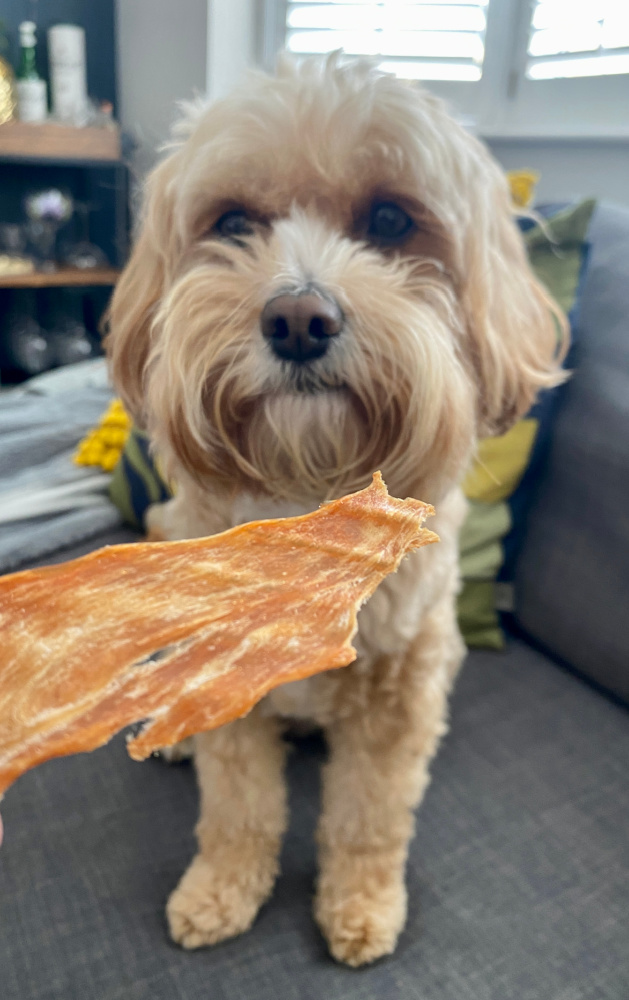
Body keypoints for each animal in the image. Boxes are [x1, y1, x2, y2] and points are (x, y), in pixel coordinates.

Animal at [105, 52, 568, 960]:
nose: (297, 317)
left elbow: (368, 818)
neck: (309, 488)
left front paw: (361, 904)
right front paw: (219, 889)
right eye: (233, 222)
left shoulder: (394, 697)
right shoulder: (228, 682)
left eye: (389, 220)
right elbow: (238, 807)